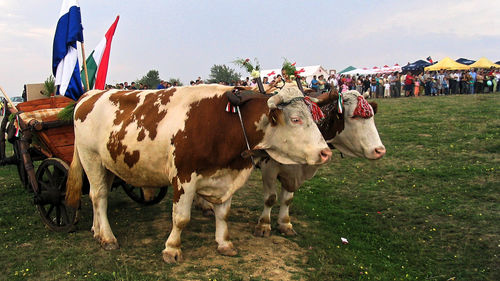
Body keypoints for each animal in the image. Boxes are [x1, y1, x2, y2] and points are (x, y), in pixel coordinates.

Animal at [65, 84, 332, 262]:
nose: (325, 152)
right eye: (296, 119)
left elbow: (223, 213)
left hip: (109, 164)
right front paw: (172, 249)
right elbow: (181, 218)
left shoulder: (226, 175)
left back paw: (96, 231)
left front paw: (224, 243)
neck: (225, 123)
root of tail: (91, 94)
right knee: (99, 196)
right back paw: (108, 237)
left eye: (314, 117)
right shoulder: (184, 177)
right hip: (91, 158)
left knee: (98, 198)